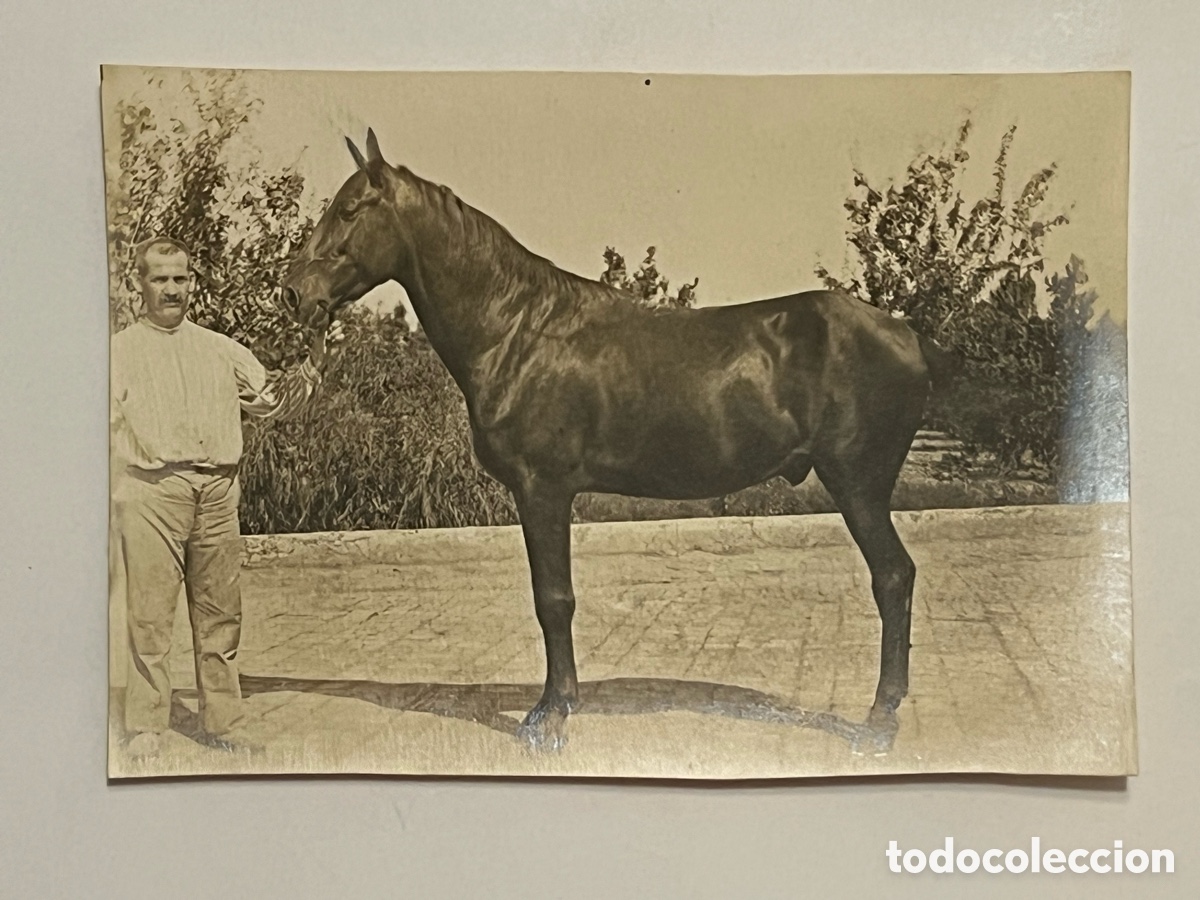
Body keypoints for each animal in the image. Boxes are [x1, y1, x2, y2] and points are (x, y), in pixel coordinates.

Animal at [282, 130, 960, 751]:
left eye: (349, 210)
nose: (293, 293)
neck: (518, 330)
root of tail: (906, 333)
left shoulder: (543, 489)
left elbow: (553, 599)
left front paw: (550, 715)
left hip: (858, 485)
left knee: (893, 577)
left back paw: (879, 721)